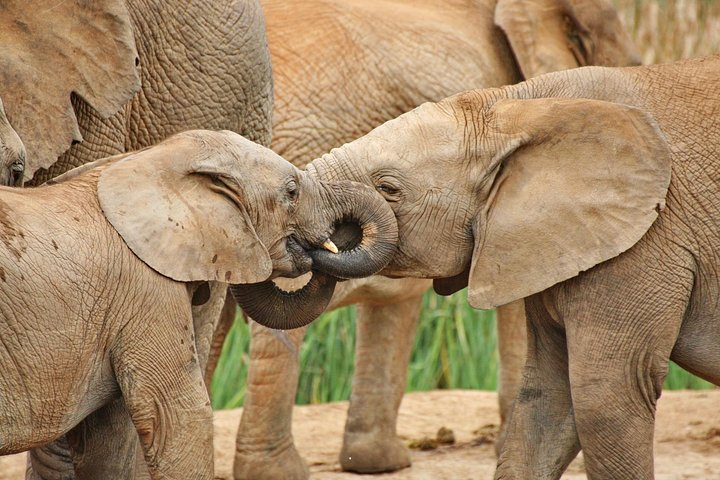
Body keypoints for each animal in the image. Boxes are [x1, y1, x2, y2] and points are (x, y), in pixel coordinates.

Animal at [0, 129, 396, 480]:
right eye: (292, 192)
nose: (333, 241)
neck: (148, 160)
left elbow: (106, 442)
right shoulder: (146, 291)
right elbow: (180, 417)